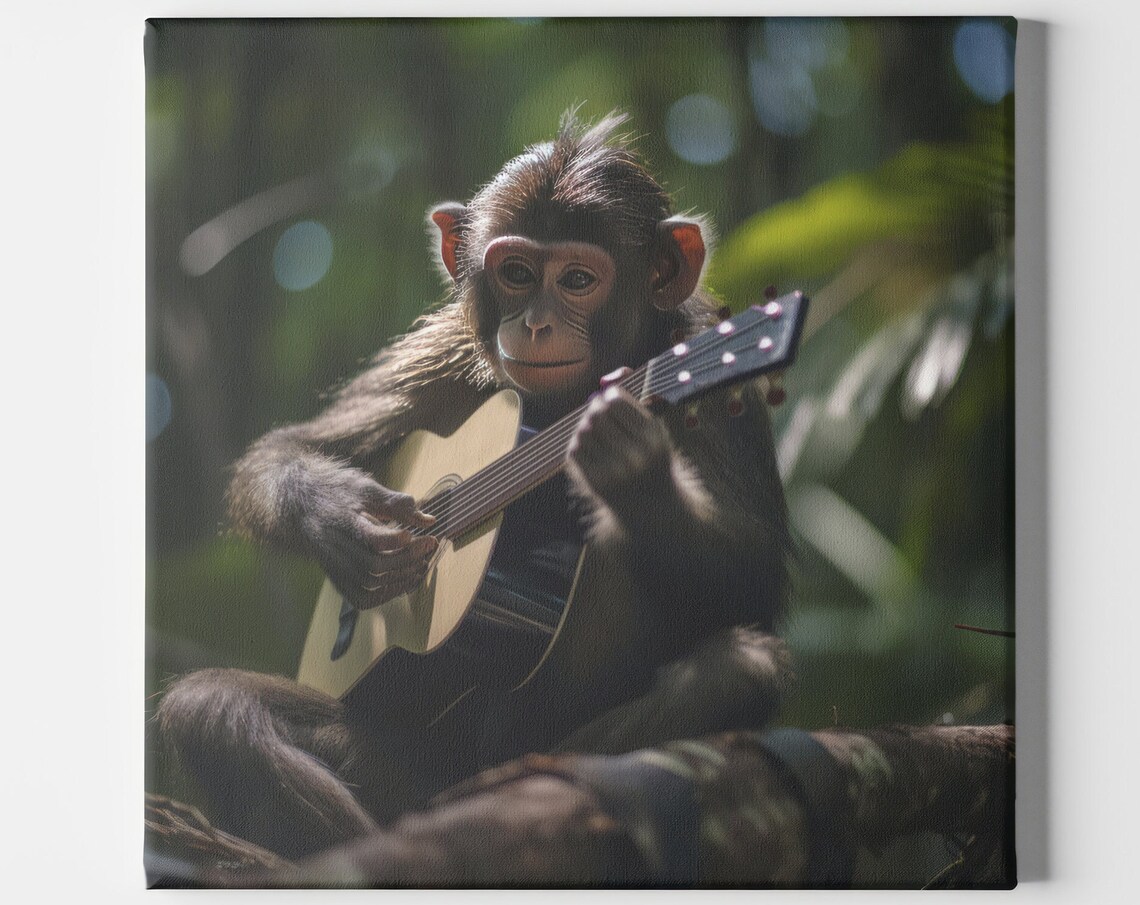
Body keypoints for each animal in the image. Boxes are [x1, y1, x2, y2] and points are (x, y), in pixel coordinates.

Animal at [156, 111, 794, 862]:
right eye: (516, 273)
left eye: (578, 278)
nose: (536, 322)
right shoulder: (446, 351)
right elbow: (298, 447)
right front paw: (343, 521)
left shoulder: (722, 386)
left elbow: (752, 572)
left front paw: (632, 466)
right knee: (215, 709)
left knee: (739, 669)